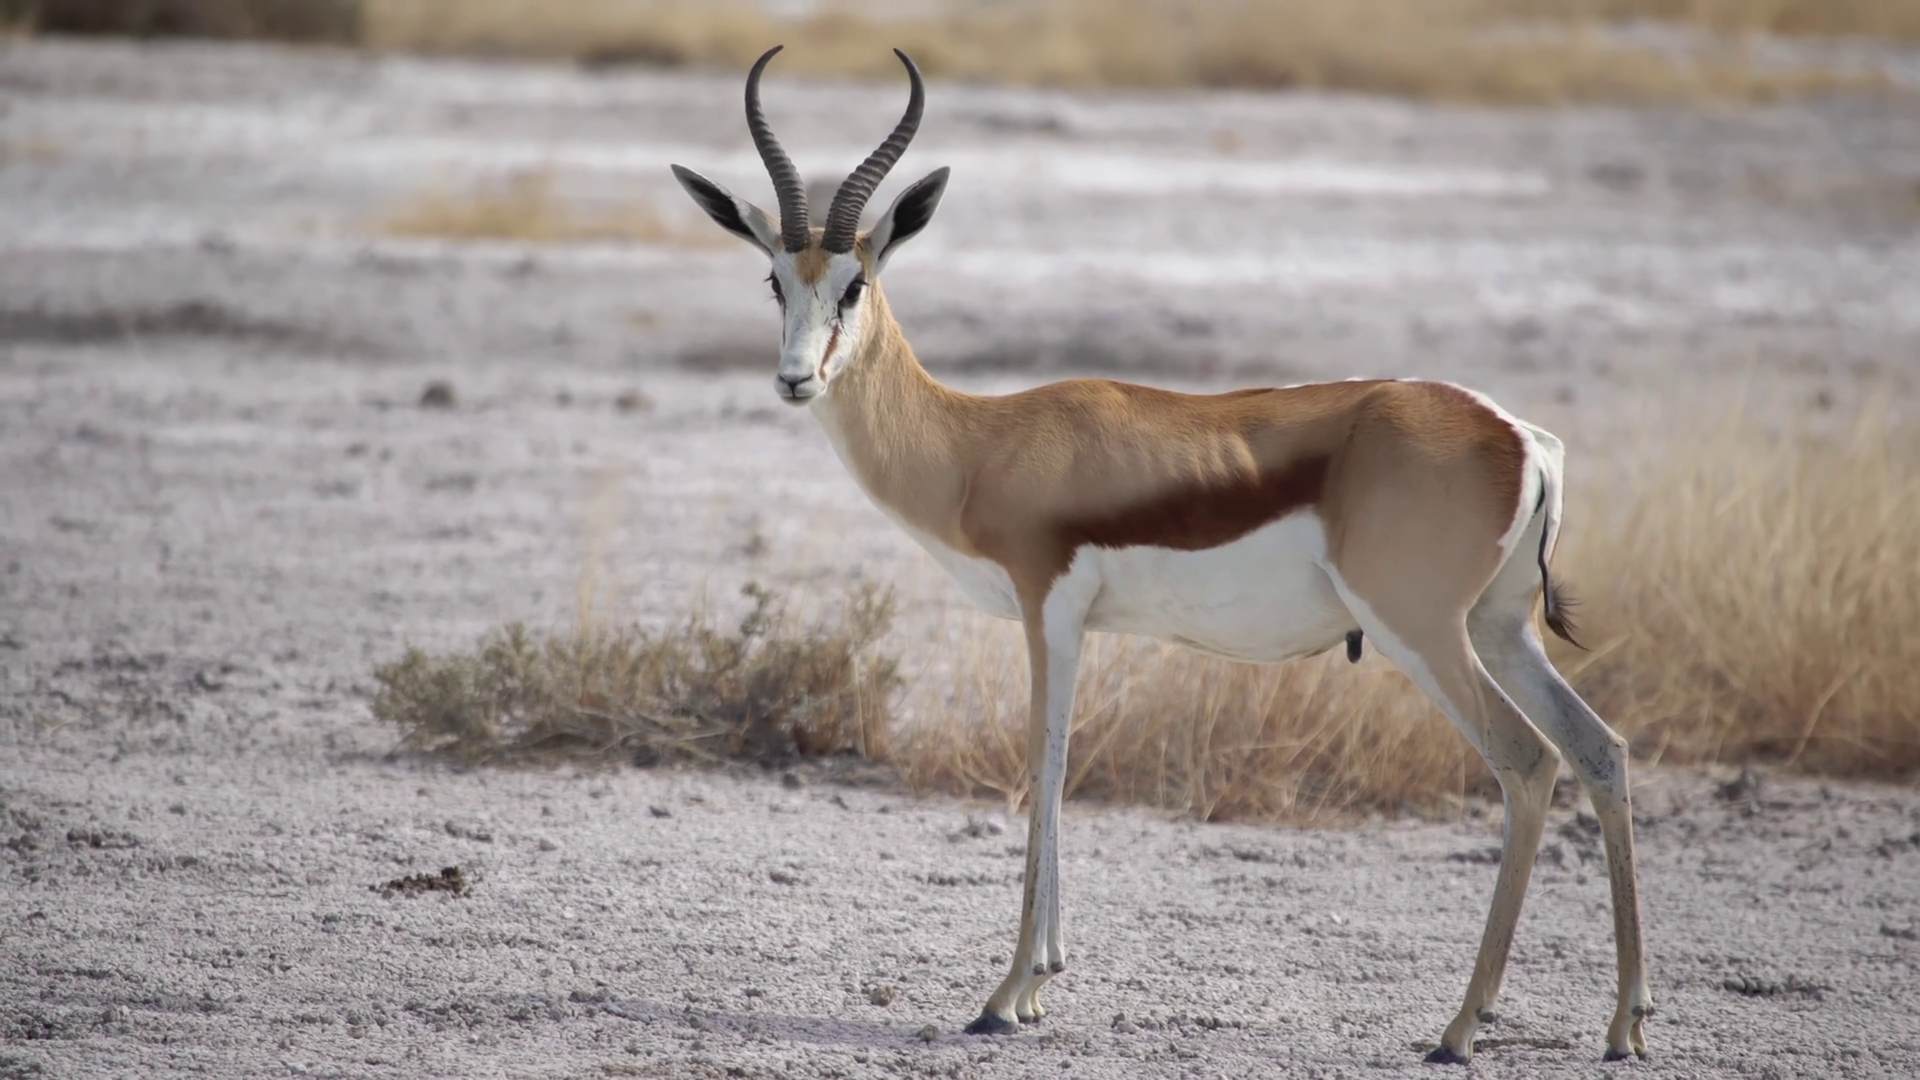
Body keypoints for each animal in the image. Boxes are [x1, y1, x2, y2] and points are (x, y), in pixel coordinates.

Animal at [670, 46, 1653, 1064]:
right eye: (776, 281)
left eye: (854, 285)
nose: (794, 379)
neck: (981, 444)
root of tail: (1520, 436)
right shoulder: (1077, 625)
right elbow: (1061, 769)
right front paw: (1038, 988)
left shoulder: (1047, 610)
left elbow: (1044, 766)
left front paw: (1005, 994)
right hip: (1497, 629)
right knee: (1601, 749)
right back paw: (1624, 1024)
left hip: (1420, 631)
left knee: (1528, 763)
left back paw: (1460, 1029)